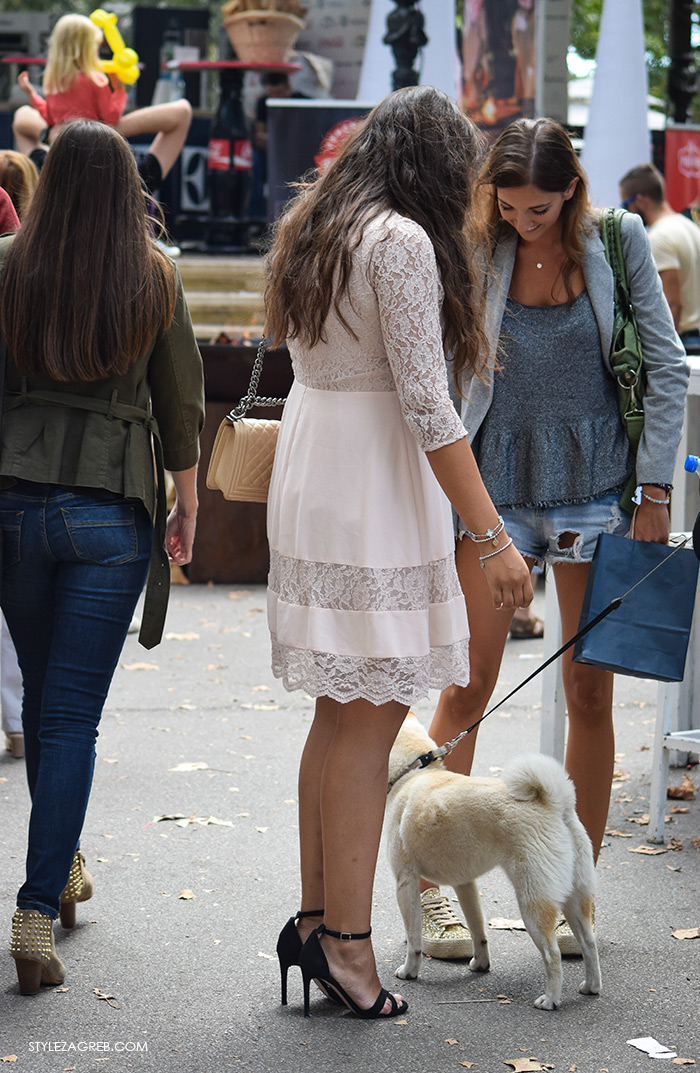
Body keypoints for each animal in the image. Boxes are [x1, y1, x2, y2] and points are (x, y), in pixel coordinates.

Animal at [386, 716, 596, 1008]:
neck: (412, 774)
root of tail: (555, 805)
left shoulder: (405, 881)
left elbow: (414, 940)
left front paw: (409, 972)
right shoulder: (465, 884)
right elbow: (478, 931)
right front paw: (481, 964)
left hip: (533, 905)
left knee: (553, 954)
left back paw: (550, 1000)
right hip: (575, 899)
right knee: (589, 944)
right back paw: (591, 986)